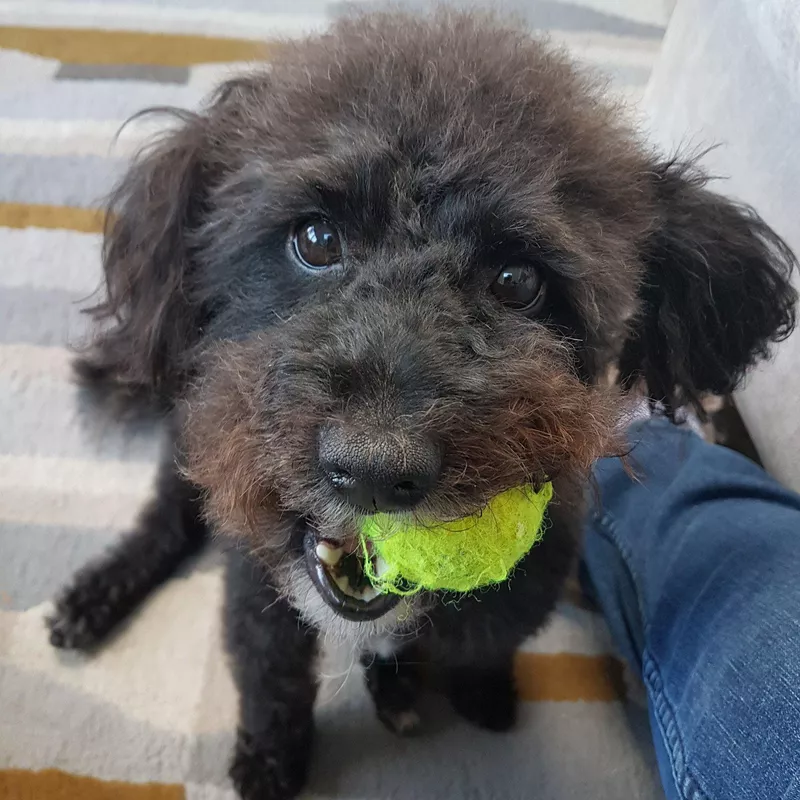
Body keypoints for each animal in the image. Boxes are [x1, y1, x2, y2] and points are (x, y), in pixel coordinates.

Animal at [48, 10, 792, 800]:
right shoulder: (258, 594)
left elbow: (482, 647)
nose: (372, 469)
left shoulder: (527, 584)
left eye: (518, 281)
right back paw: (94, 598)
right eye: (316, 237)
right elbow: (271, 680)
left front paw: (477, 695)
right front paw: (271, 763)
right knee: (167, 518)